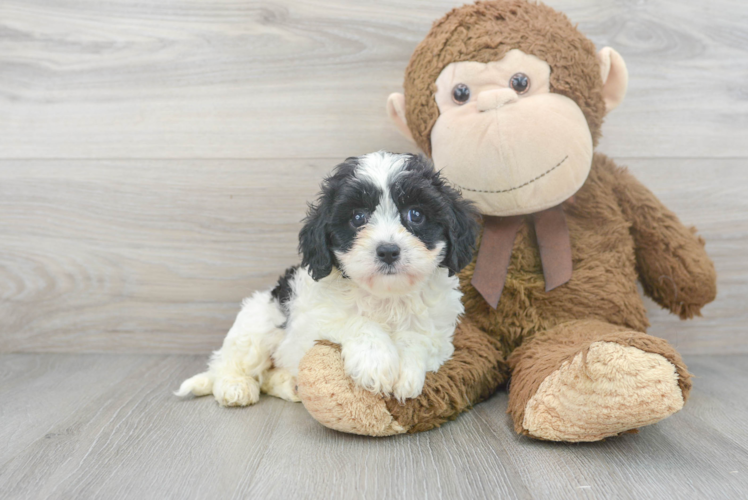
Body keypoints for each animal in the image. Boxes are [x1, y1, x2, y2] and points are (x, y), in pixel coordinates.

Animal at [176, 152, 480, 406]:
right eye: (357, 217)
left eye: (415, 214)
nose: (388, 251)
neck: (386, 296)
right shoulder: (313, 319)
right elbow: (356, 321)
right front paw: (376, 361)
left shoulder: (440, 334)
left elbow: (418, 337)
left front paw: (406, 370)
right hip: (257, 325)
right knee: (229, 362)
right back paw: (235, 386)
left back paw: (290, 385)